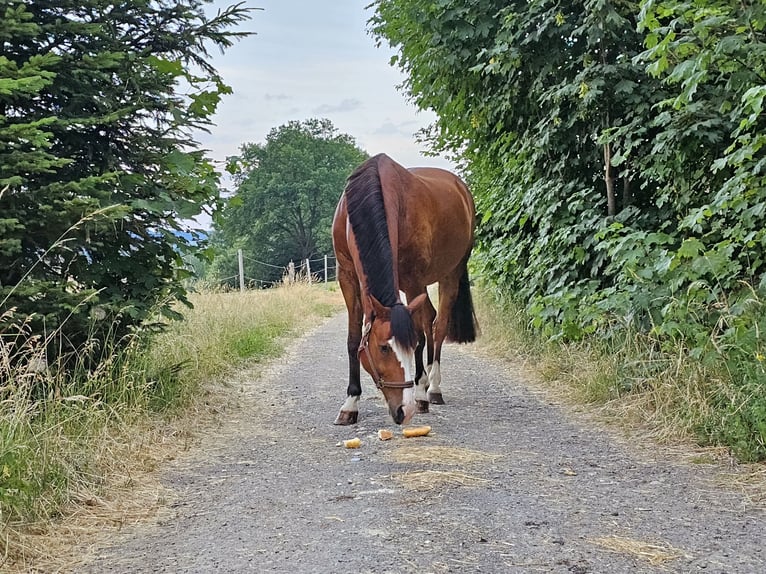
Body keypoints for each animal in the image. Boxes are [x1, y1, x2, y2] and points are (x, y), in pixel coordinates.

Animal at [332, 153, 476, 428]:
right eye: (383, 348)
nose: (403, 410)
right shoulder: (347, 276)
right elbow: (353, 340)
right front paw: (350, 404)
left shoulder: (413, 280)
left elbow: (419, 335)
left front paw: (419, 394)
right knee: (430, 317)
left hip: (450, 274)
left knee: (438, 326)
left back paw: (432, 388)